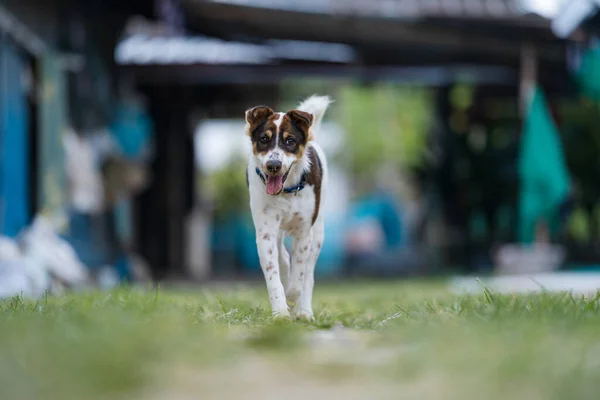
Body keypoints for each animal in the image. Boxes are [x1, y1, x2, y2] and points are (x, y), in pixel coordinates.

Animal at [245, 94, 332, 318]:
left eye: (290, 141)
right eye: (263, 139)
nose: (273, 165)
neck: (286, 192)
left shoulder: (304, 232)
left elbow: (299, 275)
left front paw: (293, 299)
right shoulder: (265, 231)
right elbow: (273, 275)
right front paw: (281, 312)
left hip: (318, 234)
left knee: (309, 273)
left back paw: (304, 311)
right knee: (283, 257)